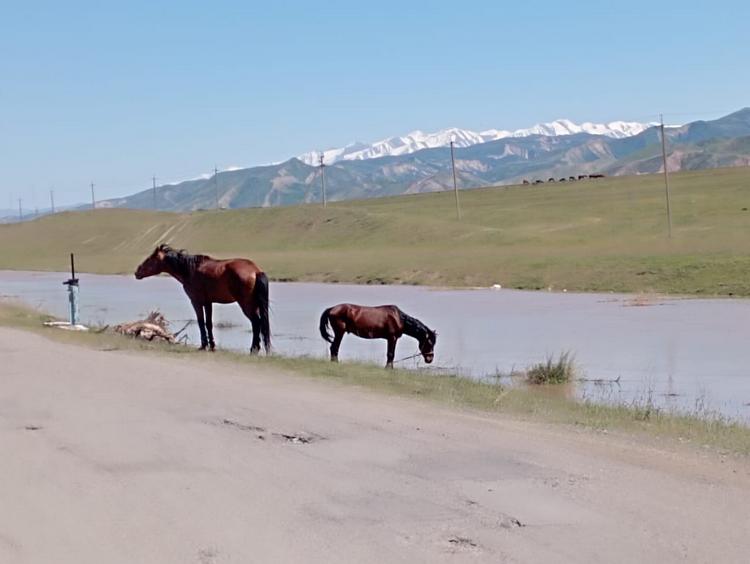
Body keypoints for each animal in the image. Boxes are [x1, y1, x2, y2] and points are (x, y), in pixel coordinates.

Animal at [134, 244, 270, 353]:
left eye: (150, 259)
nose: (137, 272)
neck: (191, 270)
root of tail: (256, 271)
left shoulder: (196, 302)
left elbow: (201, 322)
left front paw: (203, 346)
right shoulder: (208, 302)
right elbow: (208, 323)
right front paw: (212, 346)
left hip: (246, 305)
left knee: (256, 323)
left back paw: (253, 349)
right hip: (254, 305)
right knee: (258, 324)